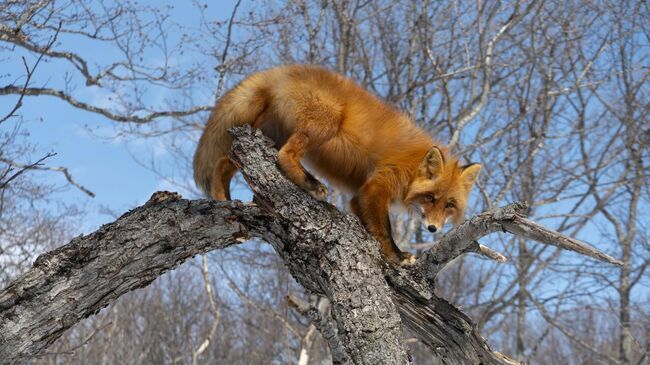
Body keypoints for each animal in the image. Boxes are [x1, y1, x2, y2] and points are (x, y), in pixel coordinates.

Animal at [190, 64, 478, 264]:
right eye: (430, 198)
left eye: (449, 205)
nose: (433, 228)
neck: (413, 164)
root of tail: (282, 69)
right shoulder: (376, 187)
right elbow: (385, 231)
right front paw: (397, 257)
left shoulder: (358, 197)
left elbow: (371, 227)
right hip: (324, 123)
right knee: (284, 155)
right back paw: (309, 183)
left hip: (264, 134)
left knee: (223, 162)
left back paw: (223, 199)